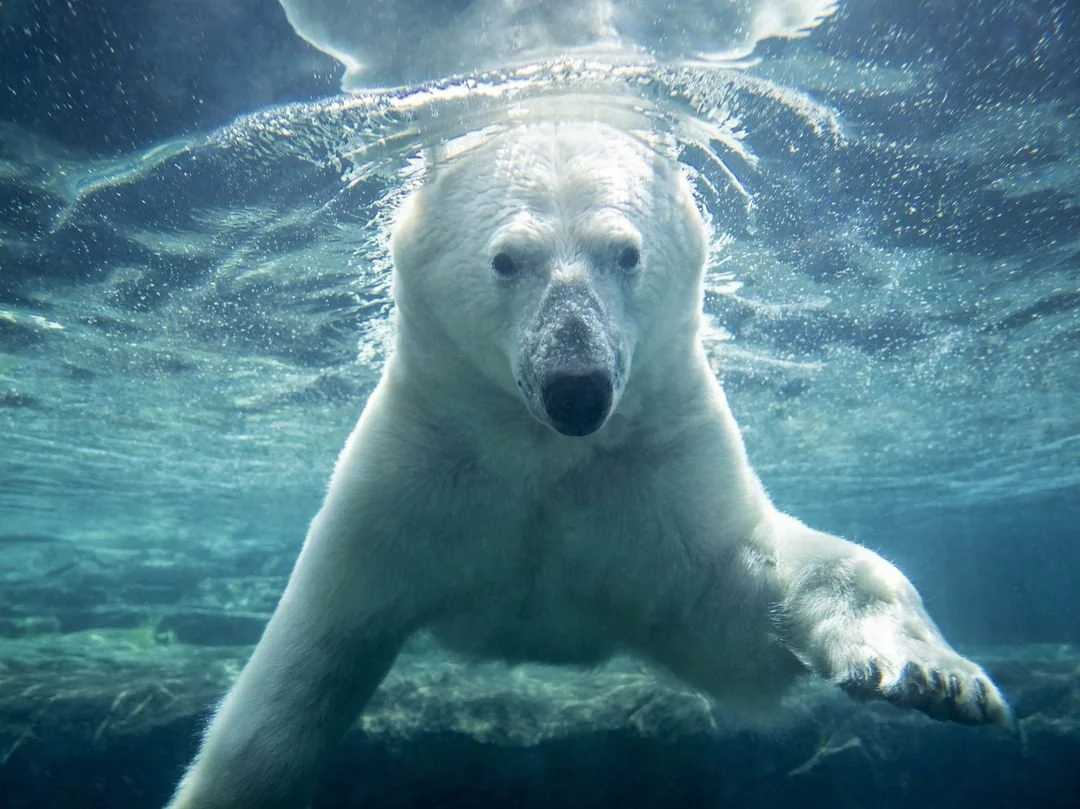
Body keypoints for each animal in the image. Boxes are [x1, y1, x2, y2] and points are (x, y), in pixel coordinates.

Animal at [166, 119, 1009, 809]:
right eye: (507, 259)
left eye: (625, 252)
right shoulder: (414, 473)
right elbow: (304, 664)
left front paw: (934, 676)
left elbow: (750, 601)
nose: (577, 387)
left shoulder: (654, 476)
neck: (544, 453)